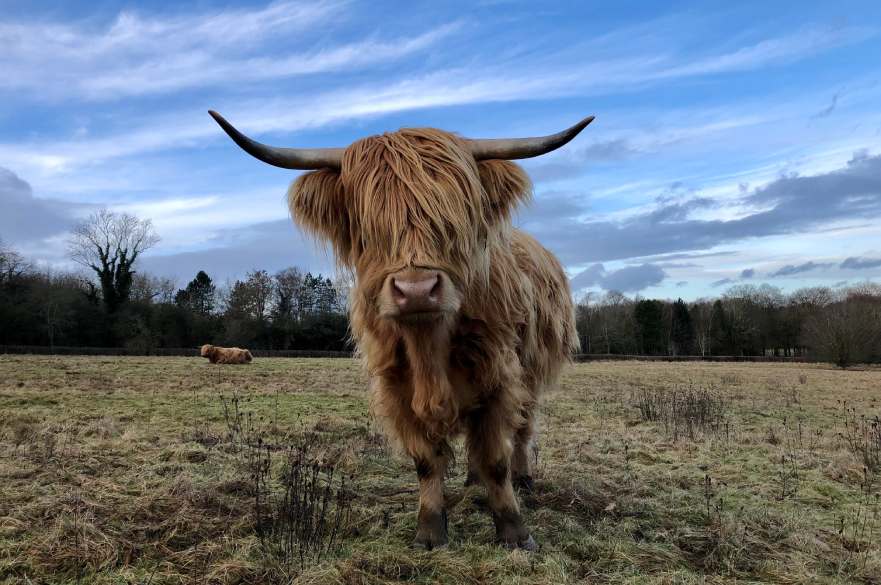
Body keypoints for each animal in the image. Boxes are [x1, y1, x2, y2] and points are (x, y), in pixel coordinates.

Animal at [208, 110, 592, 552]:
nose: (417, 290)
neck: (429, 350)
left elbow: (497, 459)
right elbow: (426, 462)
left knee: (523, 427)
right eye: (370, 227)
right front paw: (430, 532)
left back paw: (523, 478)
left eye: (453, 220)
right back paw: (471, 481)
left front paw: (514, 533)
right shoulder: (395, 386)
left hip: (532, 371)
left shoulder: (499, 376)